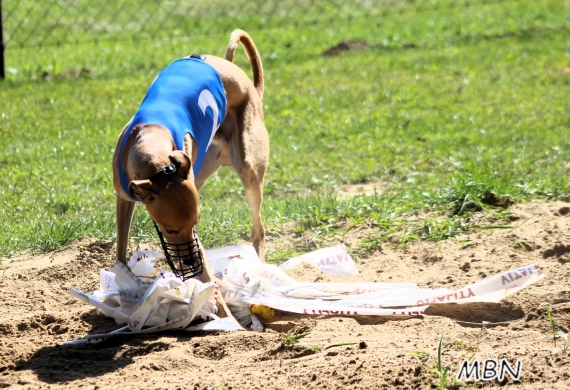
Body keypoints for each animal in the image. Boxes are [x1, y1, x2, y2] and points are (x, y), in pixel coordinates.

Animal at [112, 29, 268, 316]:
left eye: (195, 223)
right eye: (171, 230)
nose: (191, 259)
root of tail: (250, 86)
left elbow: (207, 274)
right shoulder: (125, 197)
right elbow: (120, 246)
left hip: (250, 170)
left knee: (259, 230)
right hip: (202, 168)